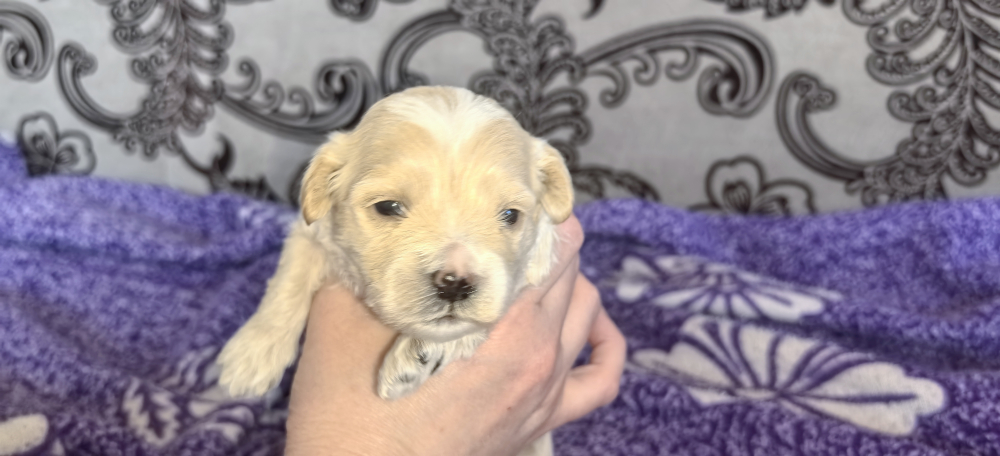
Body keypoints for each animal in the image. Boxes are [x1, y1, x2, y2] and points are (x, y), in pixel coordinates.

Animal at [215, 86, 573, 455]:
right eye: (388, 207)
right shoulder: (311, 233)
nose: (455, 283)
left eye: (510, 215)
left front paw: (412, 362)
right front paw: (251, 356)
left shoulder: (537, 265)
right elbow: (289, 280)